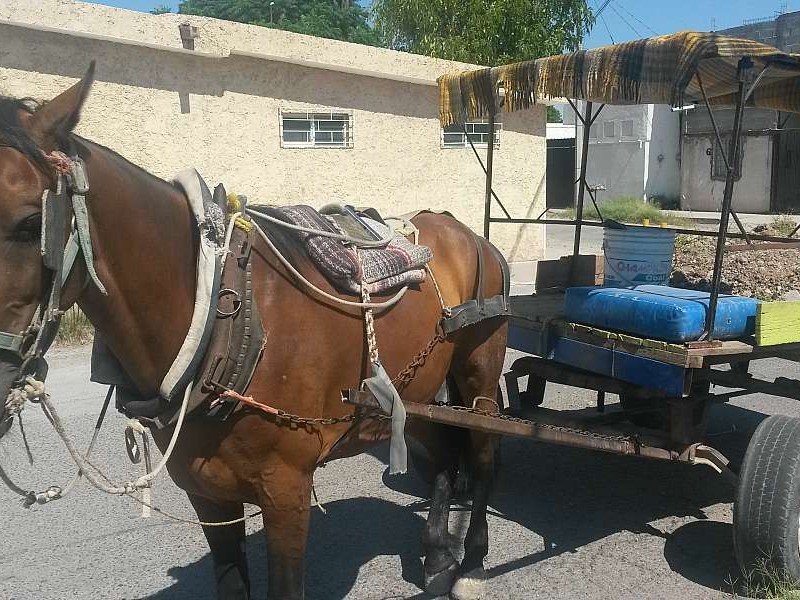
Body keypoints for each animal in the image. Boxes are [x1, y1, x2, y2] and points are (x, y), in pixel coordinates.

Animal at [0, 65, 510, 600]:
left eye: (31, 224)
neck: (221, 319)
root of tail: (461, 229)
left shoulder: (286, 493)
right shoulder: (207, 492)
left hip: (477, 370)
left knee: (482, 454)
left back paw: (473, 558)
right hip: (420, 387)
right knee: (445, 451)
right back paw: (438, 556)